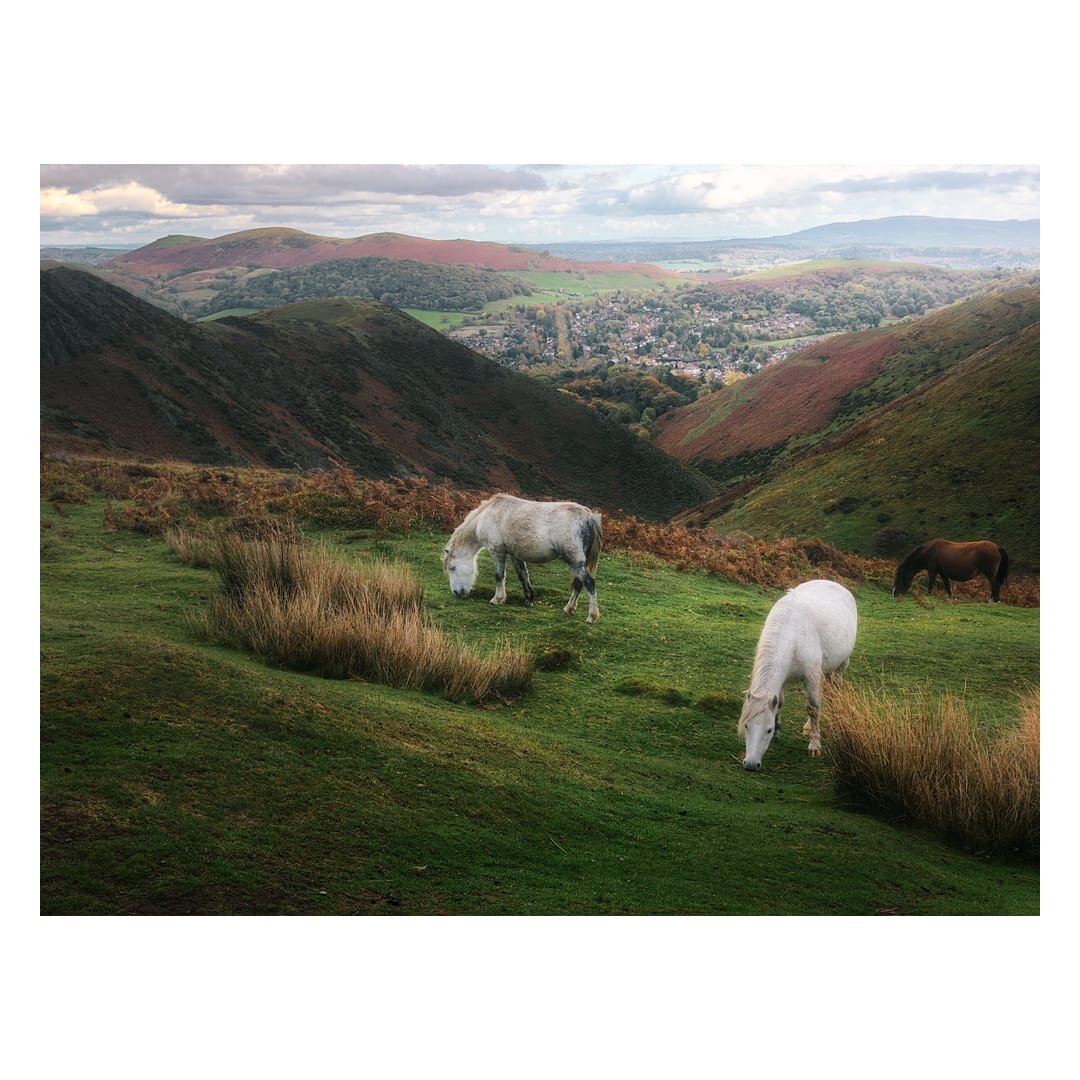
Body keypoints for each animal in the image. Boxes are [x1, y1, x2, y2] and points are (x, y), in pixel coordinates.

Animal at [441, 493, 602, 623]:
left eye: (452, 568)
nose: (457, 592)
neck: (487, 515)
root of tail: (588, 517)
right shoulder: (514, 554)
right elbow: (522, 575)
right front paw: (529, 598)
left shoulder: (497, 551)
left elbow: (499, 575)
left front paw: (497, 599)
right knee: (578, 584)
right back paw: (569, 608)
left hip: (574, 561)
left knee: (588, 583)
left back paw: (591, 616)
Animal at [737, 579, 858, 771]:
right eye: (747, 726)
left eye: (767, 729)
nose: (751, 764)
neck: (791, 636)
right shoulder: (782, 680)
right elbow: (780, 703)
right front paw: (778, 733)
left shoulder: (811, 676)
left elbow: (813, 708)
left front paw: (815, 745)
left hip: (840, 666)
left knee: (833, 692)